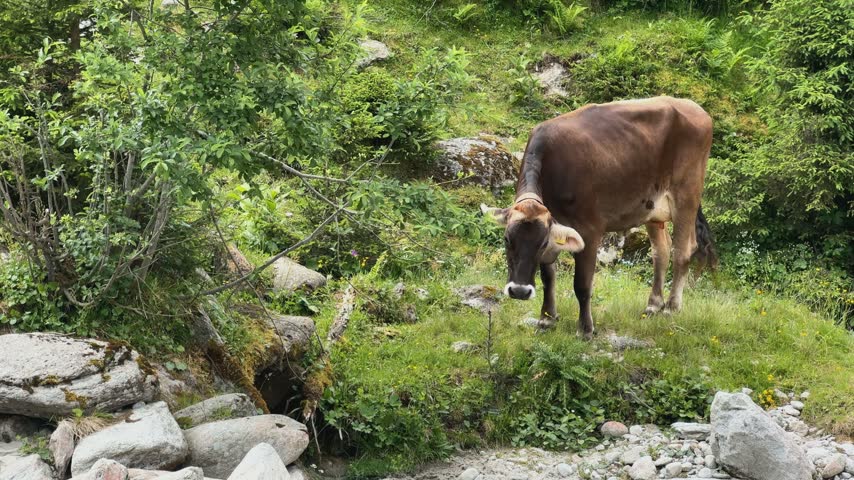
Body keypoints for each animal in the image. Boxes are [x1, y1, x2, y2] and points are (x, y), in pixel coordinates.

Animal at [481, 96, 717, 340]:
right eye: (507, 239)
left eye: (542, 242)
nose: (519, 291)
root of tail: (693, 107)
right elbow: (548, 277)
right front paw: (547, 319)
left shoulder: (590, 230)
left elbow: (582, 284)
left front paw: (585, 329)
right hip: (652, 207)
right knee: (661, 250)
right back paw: (653, 305)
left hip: (687, 194)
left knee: (683, 251)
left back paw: (671, 307)